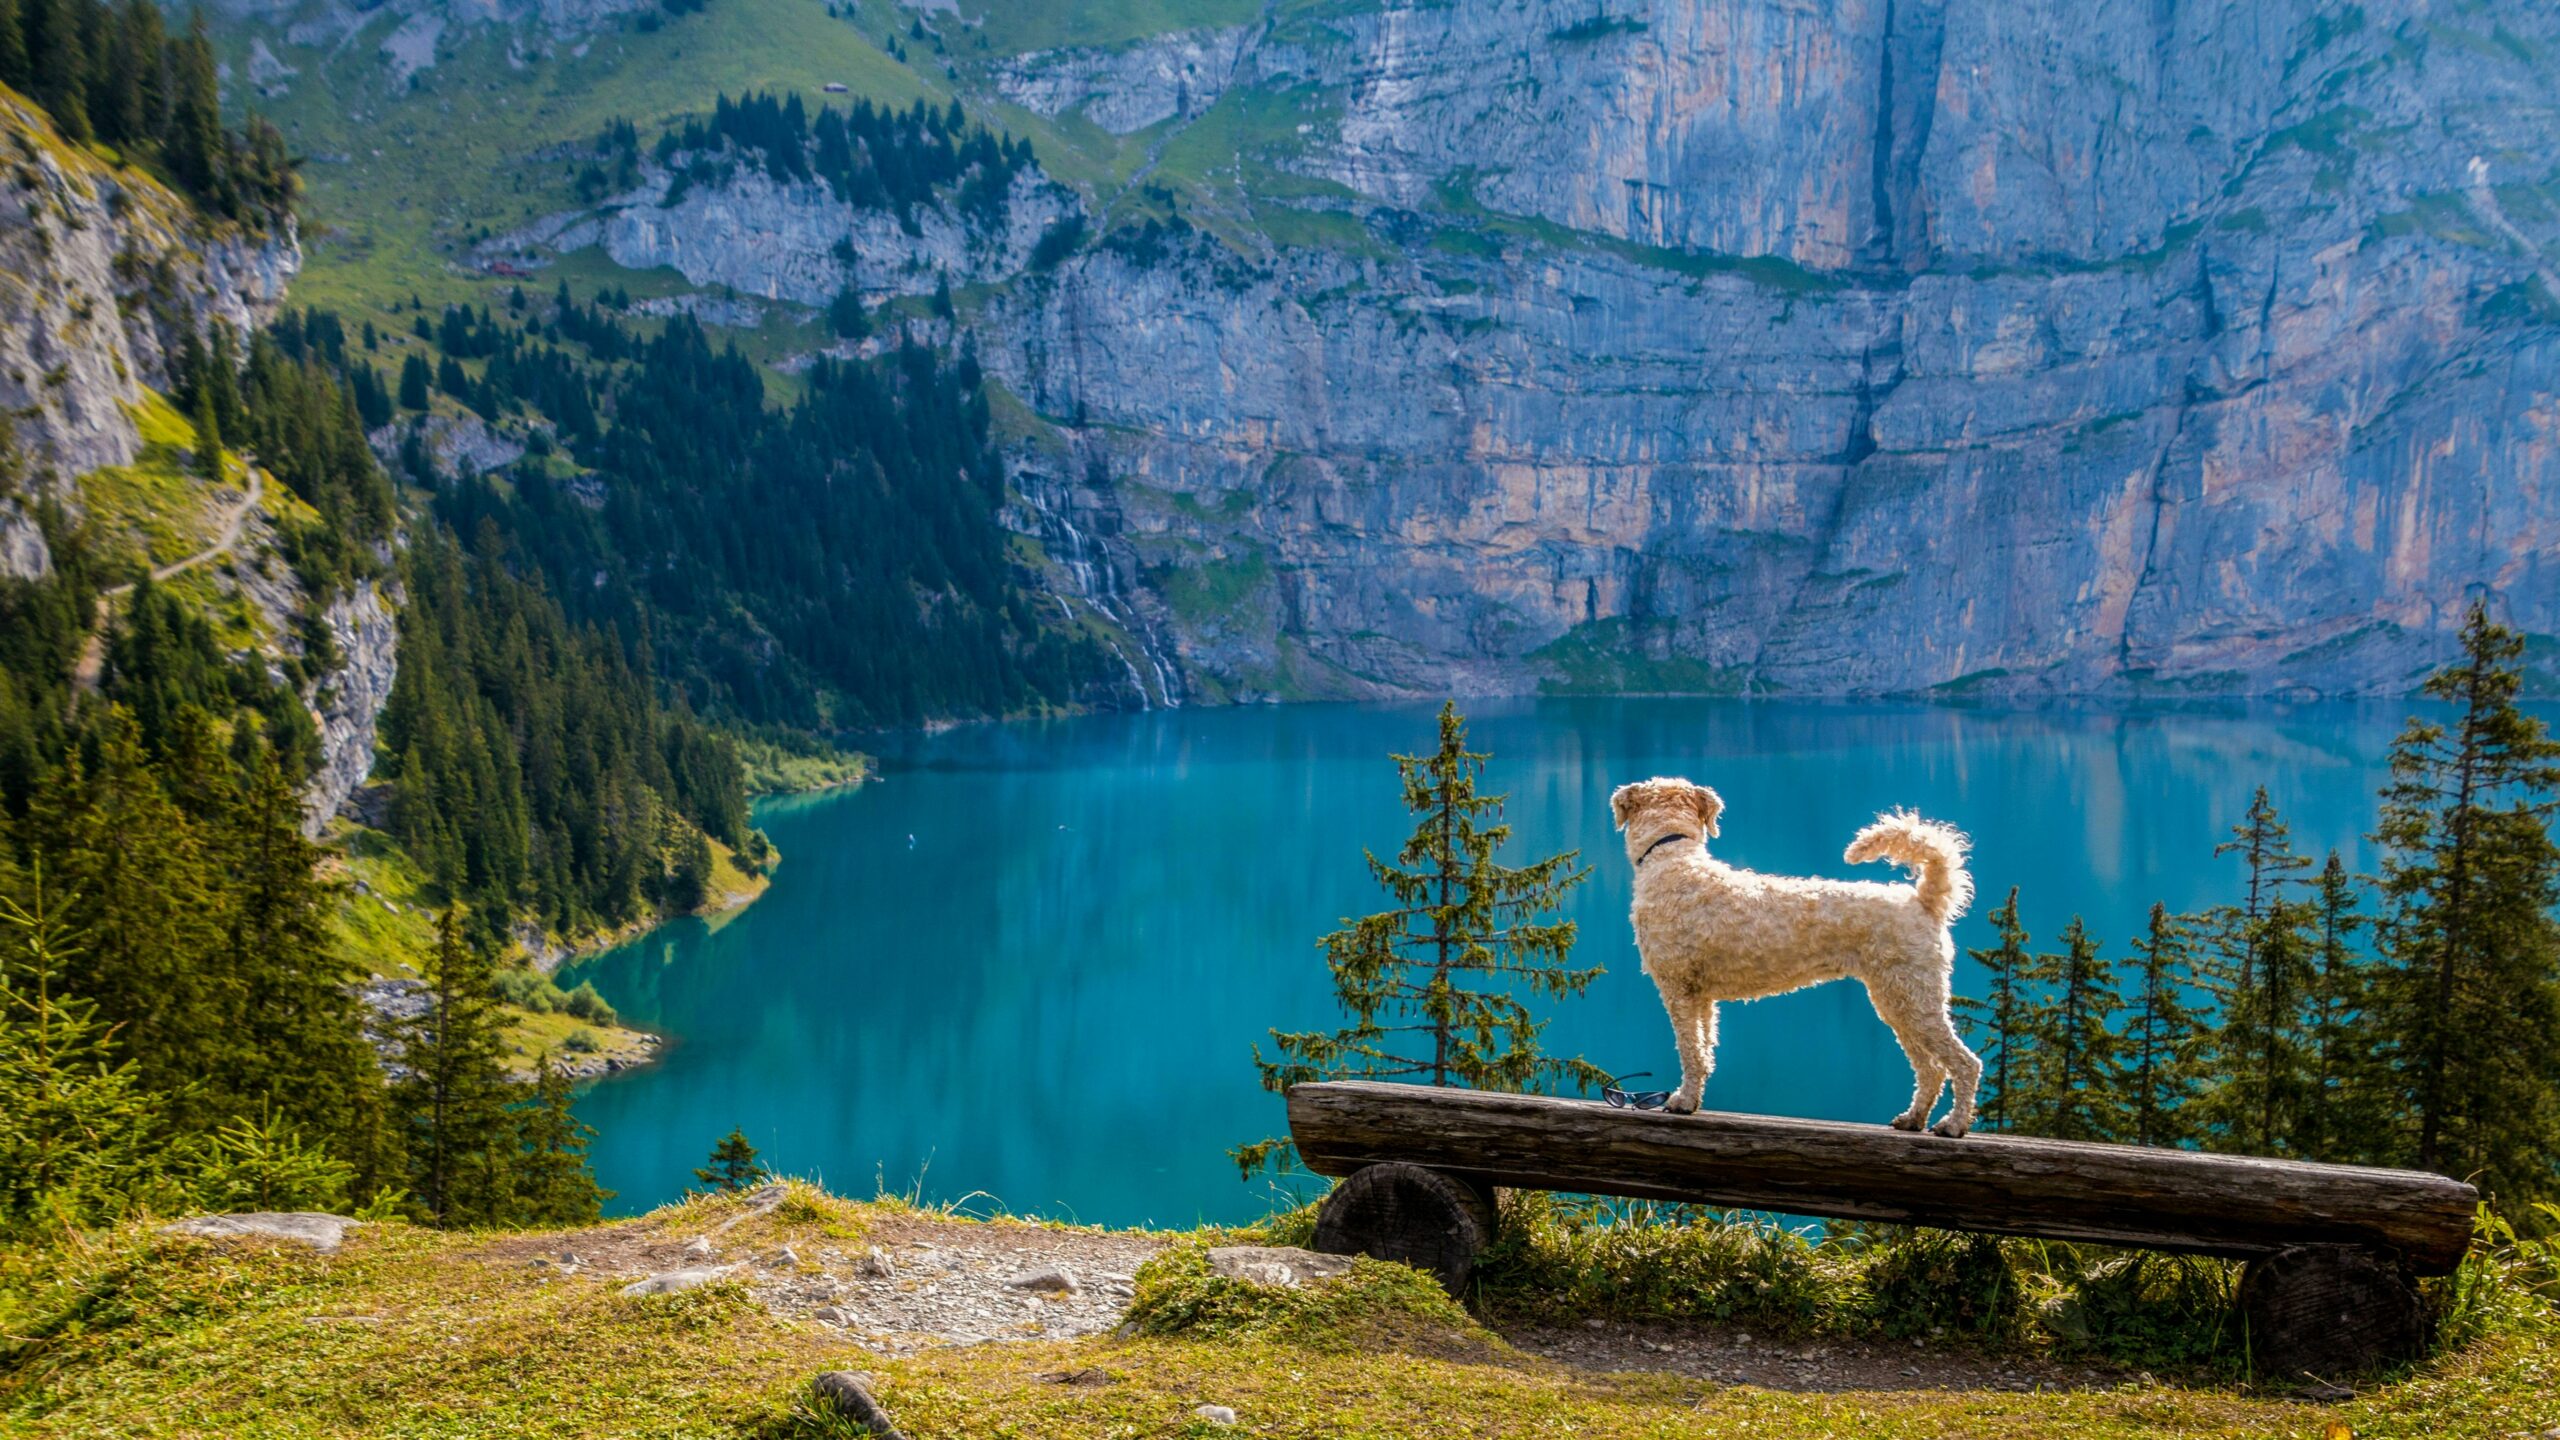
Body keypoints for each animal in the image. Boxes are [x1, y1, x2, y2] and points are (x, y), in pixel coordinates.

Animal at [1607, 773, 1986, 1132]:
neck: (1672, 859)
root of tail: (1923, 901)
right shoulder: (1700, 996)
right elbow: (1704, 1050)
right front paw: (1693, 1097)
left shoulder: (1678, 988)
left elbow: (1690, 1051)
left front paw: (1683, 1101)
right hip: (1897, 1001)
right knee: (1931, 1068)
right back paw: (1913, 1118)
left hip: (1913, 997)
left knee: (1966, 1063)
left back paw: (1953, 1125)